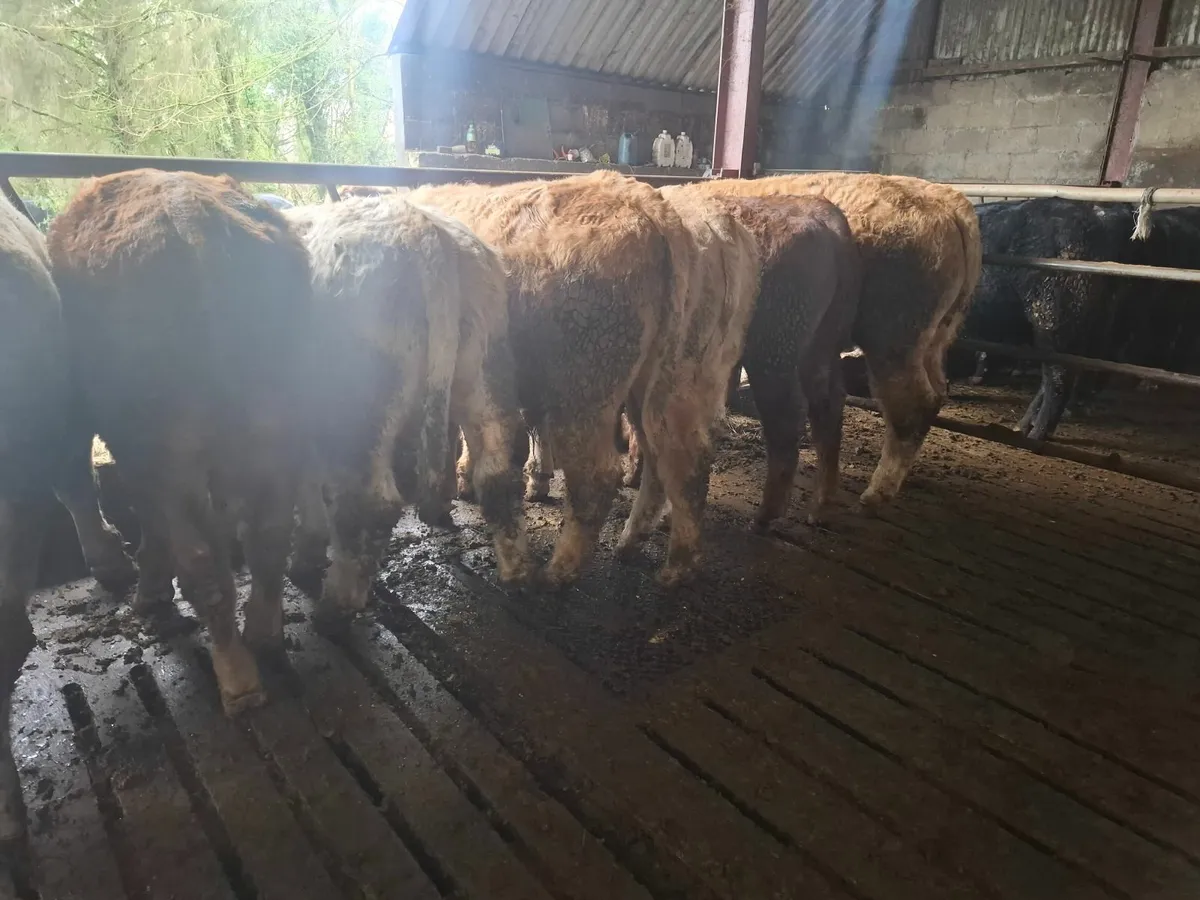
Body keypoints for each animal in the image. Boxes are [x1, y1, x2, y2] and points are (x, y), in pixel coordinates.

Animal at [47, 169, 315, 715]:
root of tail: (193, 222)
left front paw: (147, 590)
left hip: (171, 448)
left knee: (201, 560)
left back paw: (237, 679)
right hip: (278, 426)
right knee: (269, 536)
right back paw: (262, 634)